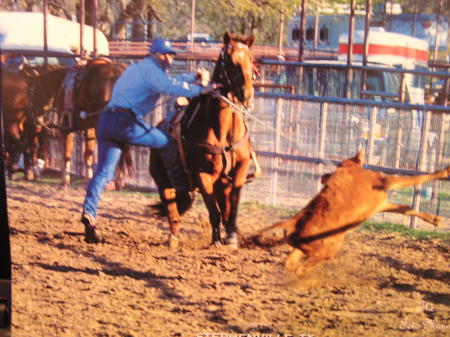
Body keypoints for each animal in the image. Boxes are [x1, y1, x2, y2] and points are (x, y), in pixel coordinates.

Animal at [149, 32, 258, 247]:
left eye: (251, 59)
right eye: (229, 61)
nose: (247, 95)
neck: (222, 132)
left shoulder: (239, 168)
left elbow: (232, 205)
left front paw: (232, 236)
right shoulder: (203, 175)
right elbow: (212, 210)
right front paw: (216, 239)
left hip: (220, 183)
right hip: (163, 182)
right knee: (172, 208)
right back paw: (173, 238)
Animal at [260, 150, 450, 276]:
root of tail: (293, 222)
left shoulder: (382, 203)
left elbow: (406, 209)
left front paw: (436, 220)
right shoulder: (384, 182)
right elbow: (417, 178)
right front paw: (444, 171)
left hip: (304, 248)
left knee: (291, 264)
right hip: (328, 248)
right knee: (303, 267)